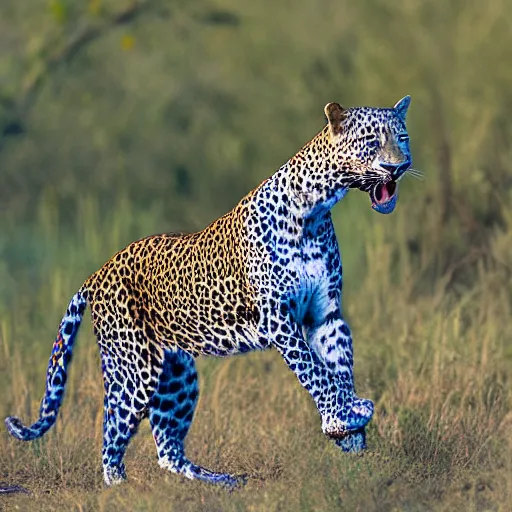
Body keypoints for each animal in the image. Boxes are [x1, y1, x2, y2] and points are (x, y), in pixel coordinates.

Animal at [5, 96, 412, 488]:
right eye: (371, 140)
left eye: (403, 138)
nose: (399, 167)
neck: (314, 209)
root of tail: (97, 273)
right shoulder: (278, 318)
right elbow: (315, 371)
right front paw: (344, 419)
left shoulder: (325, 314)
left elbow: (338, 368)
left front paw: (349, 429)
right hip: (135, 369)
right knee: (110, 436)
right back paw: (121, 488)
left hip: (177, 376)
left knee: (168, 449)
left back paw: (220, 481)